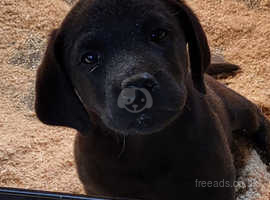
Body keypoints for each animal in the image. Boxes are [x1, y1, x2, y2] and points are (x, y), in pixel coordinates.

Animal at [35, 0, 270, 199]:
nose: (137, 86)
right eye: (89, 58)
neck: (145, 146)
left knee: (257, 117)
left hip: (236, 107)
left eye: (158, 34)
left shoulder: (214, 184)